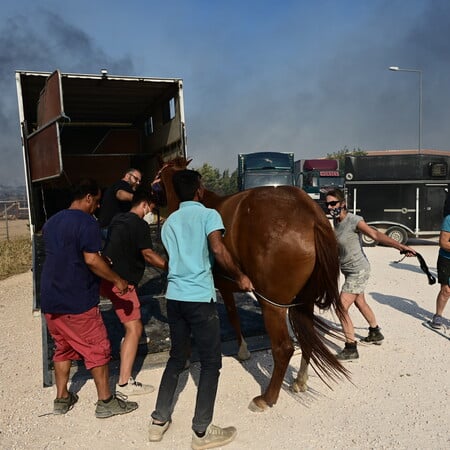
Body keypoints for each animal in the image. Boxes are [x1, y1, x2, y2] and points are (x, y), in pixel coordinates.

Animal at [156, 156, 346, 412]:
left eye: (158, 176)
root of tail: (311, 215)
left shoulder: (222, 289)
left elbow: (230, 317)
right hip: (303, 301)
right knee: (307, 338)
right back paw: (299, 381)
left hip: (272, 305)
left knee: (284, 349)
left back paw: (267, 397)